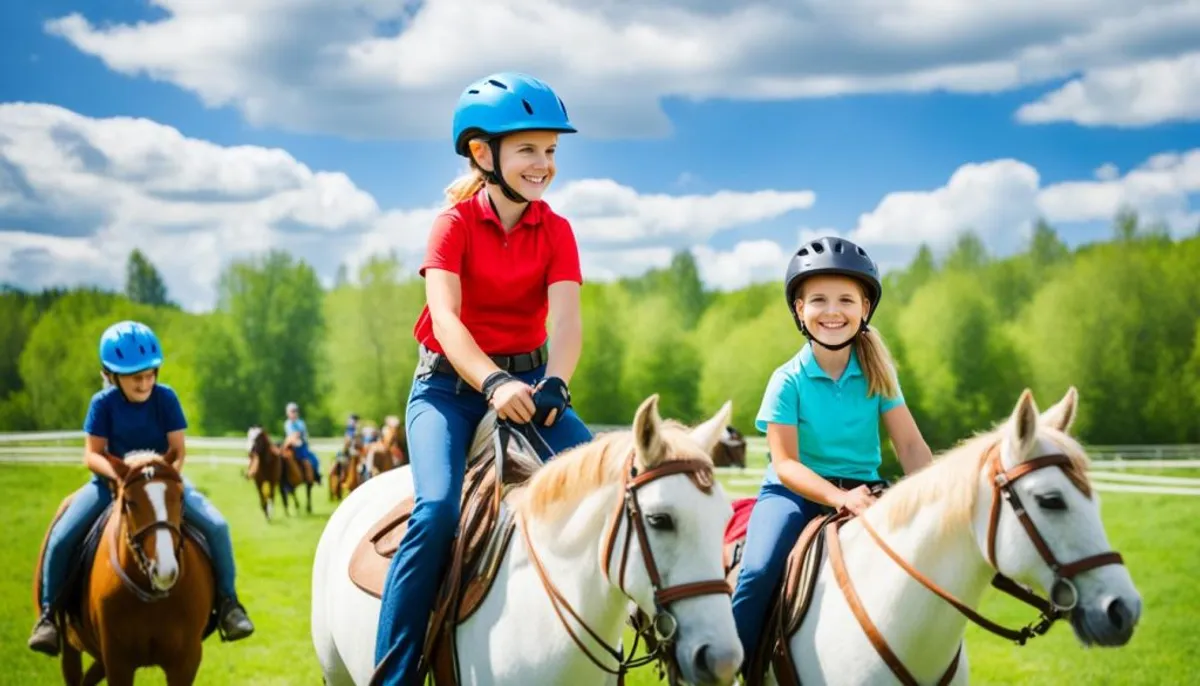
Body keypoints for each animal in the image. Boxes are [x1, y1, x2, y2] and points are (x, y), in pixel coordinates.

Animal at [32, 453, 216, 681]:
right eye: (130, 502)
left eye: (181, 497)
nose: (164, 570)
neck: (151, 597)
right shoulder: (118, 663)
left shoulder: (185, 664)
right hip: (71, 647)